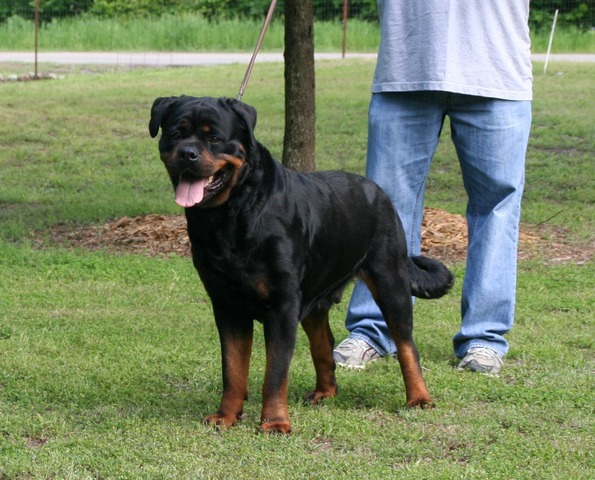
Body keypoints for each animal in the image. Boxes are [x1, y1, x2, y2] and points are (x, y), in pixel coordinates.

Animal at [150, 95, 456, 434]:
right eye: (176, 134)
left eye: (214, 138)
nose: (187, 153)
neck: (232, 213)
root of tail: (379, 191)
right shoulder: (227, 304)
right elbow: (232, 368)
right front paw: (226, 416)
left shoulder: (282, 305)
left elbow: (275, 372)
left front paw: (274, 422)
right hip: (313, 300)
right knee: (323, 345)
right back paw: (325, 392)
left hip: (390, 280)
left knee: (406, 344)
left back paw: (419, 397)